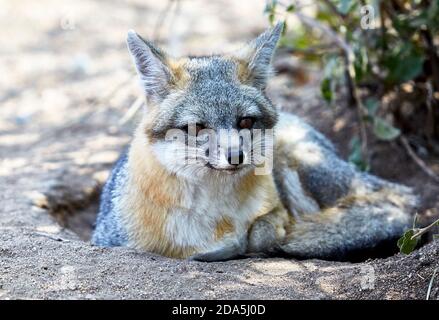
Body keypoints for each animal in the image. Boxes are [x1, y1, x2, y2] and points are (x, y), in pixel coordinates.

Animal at [93, 23, 420, 262]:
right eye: (198, 127)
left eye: (246, 122)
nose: (236, 156)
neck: (218, 215)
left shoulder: (274, 210)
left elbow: (263, 231)